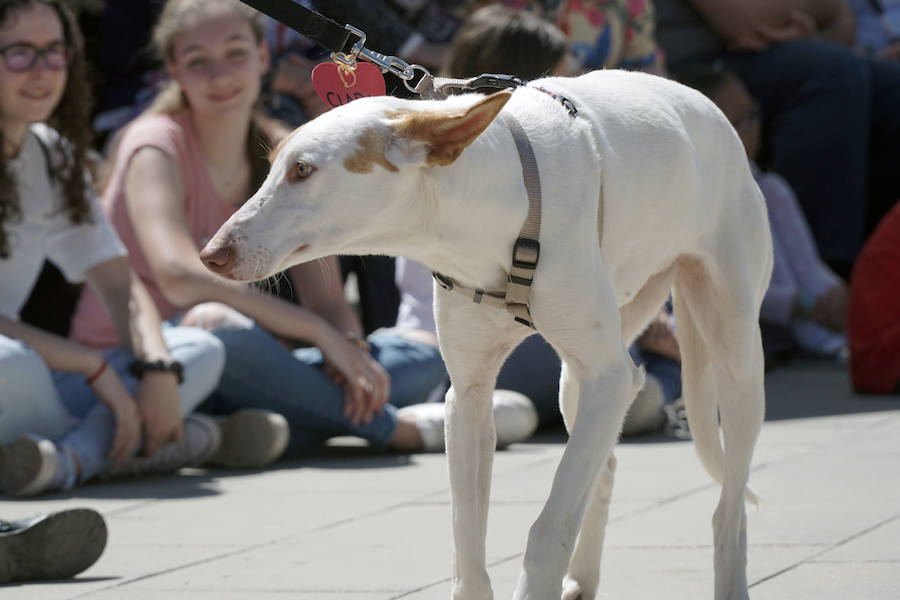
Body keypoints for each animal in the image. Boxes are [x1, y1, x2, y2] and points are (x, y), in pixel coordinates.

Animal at [200, 68, 768, 596]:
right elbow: (466, 537)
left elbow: (549, 526)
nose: (211, 255)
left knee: (729, 503)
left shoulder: (607, 379)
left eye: (302, 170)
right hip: (579, 382)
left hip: (730, 362)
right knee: (603, 470)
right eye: (273, 165)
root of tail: (701, 103)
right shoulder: (469, 398)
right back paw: (583, 578)